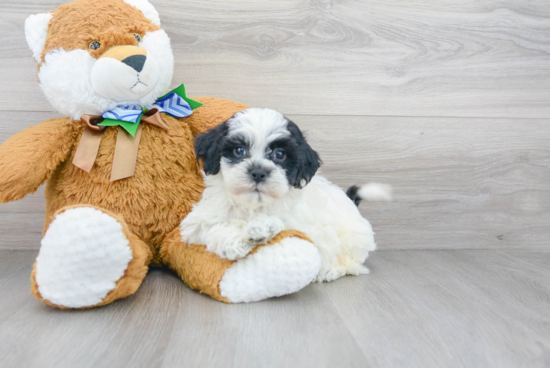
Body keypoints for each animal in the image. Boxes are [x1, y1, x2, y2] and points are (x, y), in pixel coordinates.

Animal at [181, 108, 392, 284]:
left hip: (354, 240)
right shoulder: (198, 221)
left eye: (280, 154)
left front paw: (260, 228)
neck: (252, 205)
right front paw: (233, 243)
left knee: (353, 264)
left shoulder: (303, 224)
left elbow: (282, 221)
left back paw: (331, 272)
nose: (258, 172)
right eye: (239, 150)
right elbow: (212, 227)